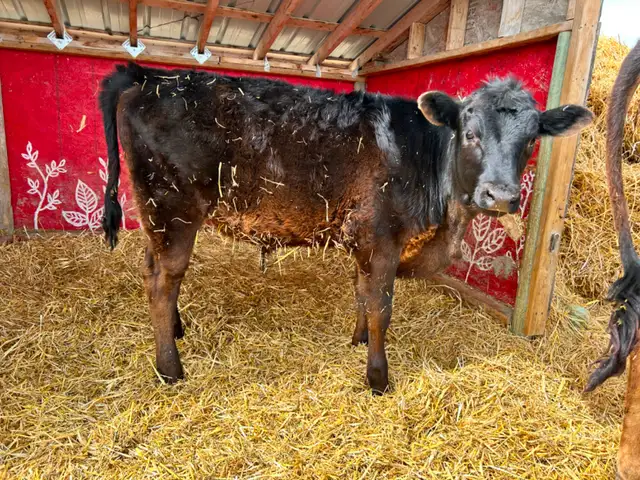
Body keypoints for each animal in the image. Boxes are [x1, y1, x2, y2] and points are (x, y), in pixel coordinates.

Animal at [100, 62, 592, 394]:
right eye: (470, 133)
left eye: (530, 141)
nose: (501, 196)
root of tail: (146, 75)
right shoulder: (384, 236)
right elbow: (381, 306)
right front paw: (378, 377)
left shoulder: (366, 239)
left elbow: (361, 292)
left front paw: (358, 341)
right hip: (172, 208)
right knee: (162, 281)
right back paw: (170, 368)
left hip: (158, 216)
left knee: (156, 270)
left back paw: (177, 331)